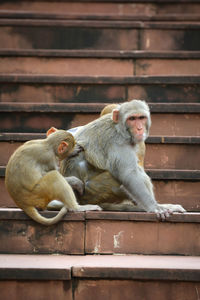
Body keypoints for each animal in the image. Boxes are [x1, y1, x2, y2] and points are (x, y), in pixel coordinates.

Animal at [47, 99, 185, 219]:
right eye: (132, 119)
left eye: (141, 118)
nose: (139, 128)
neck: (120, 128)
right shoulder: (117, 143)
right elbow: (129, 174)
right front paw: (154, 207)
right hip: (92, 191)